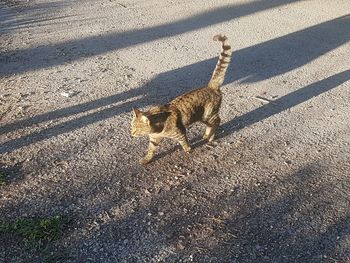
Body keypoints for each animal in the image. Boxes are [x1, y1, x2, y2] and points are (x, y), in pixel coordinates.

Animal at [130, 33, 231, 164]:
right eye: (131, 127)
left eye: (136, 129)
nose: (131, 134)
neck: (156, 129)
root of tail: (210, 87)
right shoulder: (154, 139)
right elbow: (151, 150)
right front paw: (147, 159)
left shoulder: (180, 132)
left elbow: (184, 142)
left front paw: (188, 149)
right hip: (202, 116)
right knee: (212, 123)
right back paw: (207, 135)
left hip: (208, 114)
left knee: (218, 121)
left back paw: (210, 136)